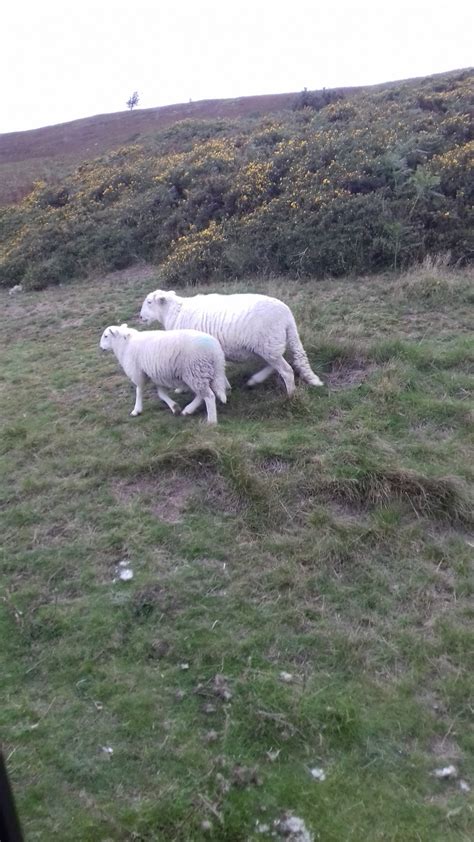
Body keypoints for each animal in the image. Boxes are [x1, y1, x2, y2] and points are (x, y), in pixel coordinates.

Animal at [99, 324, 228, 424]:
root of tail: (216, 351)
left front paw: (136, 410)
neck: (125, 346)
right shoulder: (156, 375)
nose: (100, 348)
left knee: (209, 396)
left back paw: (211, 422)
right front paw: (174, 407)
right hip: (204, 373)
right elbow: (161, 394)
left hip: (195, 371)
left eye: (106, 336)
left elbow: (139, 391)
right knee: (202, 394)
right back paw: (188, 410)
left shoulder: (138, 373)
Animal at [139, 288, 324, 394]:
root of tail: (287, 317)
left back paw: (290, 395)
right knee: (274, 366)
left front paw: (179, 388)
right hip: (269, 346)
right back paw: (255, 380)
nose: (140, 317)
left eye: (149, 302)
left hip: (269, 345)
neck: (174, 313)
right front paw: (226, 387)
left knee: (286, 371)